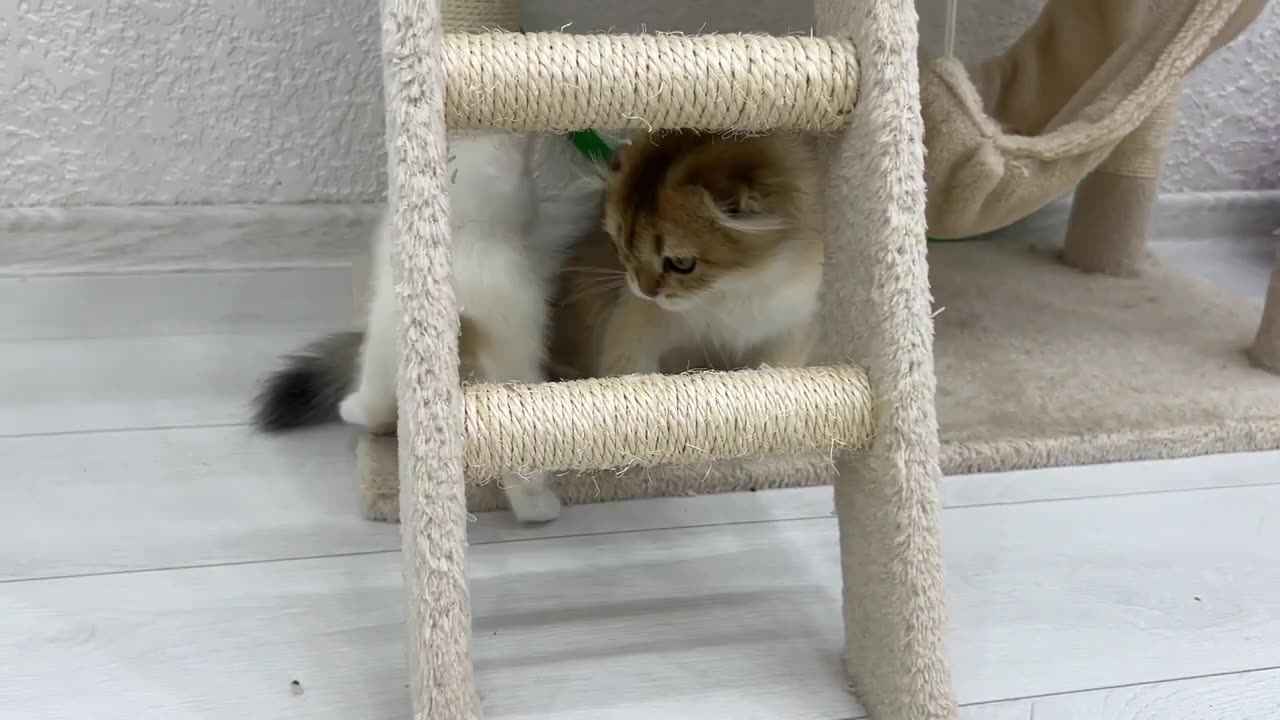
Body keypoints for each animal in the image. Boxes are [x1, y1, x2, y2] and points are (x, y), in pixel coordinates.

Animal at [555, 129, 824, 379]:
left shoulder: (791, 326)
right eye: (621, 247)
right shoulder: (629, 326)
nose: (645, 292)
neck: (735, 286)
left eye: (682, 263)